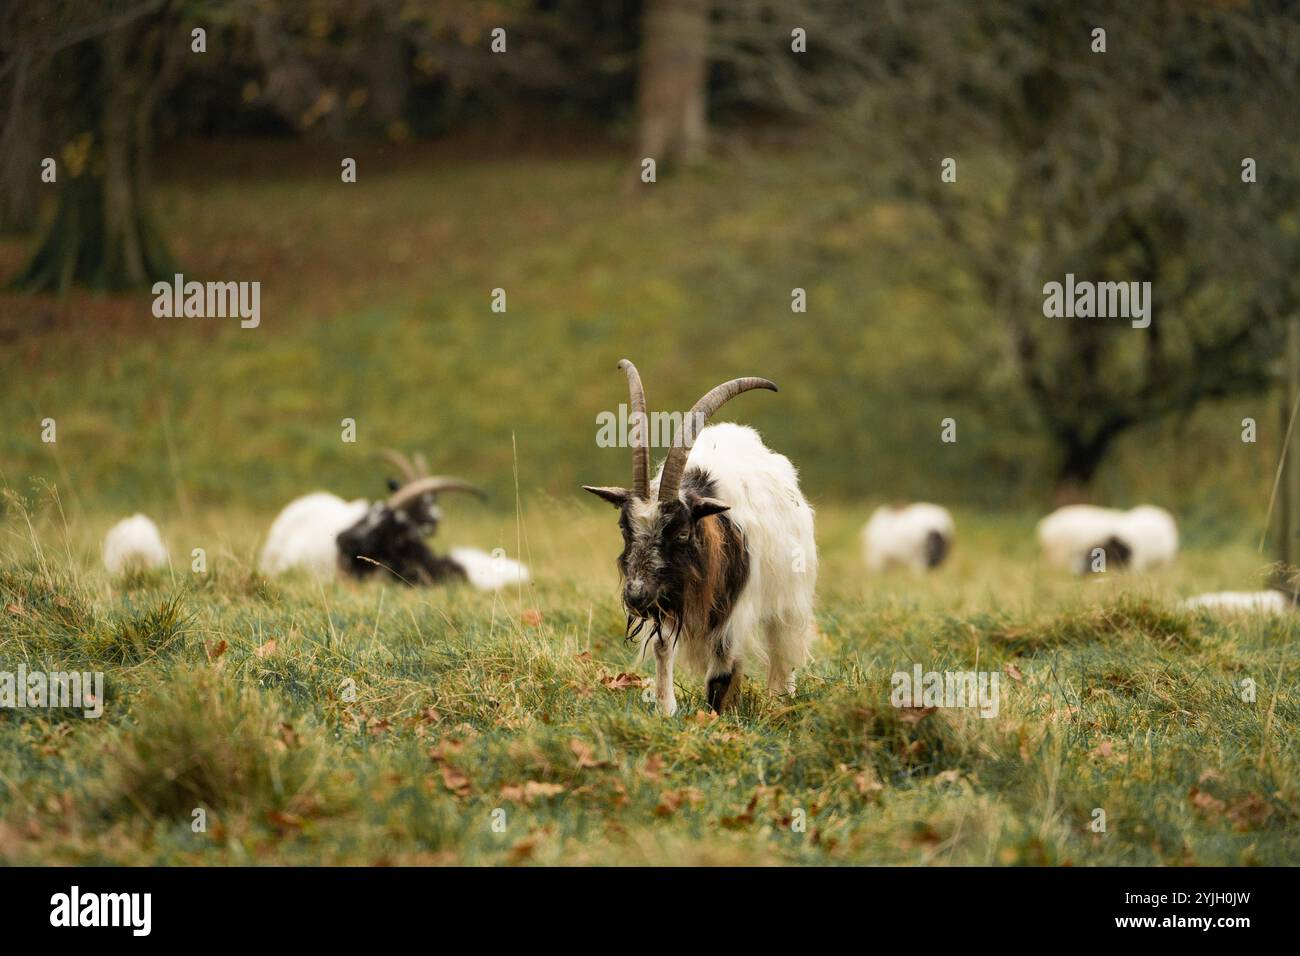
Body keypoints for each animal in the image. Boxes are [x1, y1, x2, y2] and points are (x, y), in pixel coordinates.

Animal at [583, 359, 817, 716]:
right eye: (625, 528)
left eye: (681, 532)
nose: (636, 596)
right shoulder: (666, 600)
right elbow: (663, 650)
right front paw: (666, 711)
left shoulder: (735, 609)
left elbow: (721, 670)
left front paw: (715, 717)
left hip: (790, 596)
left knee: (783, 646)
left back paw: (782, 699)